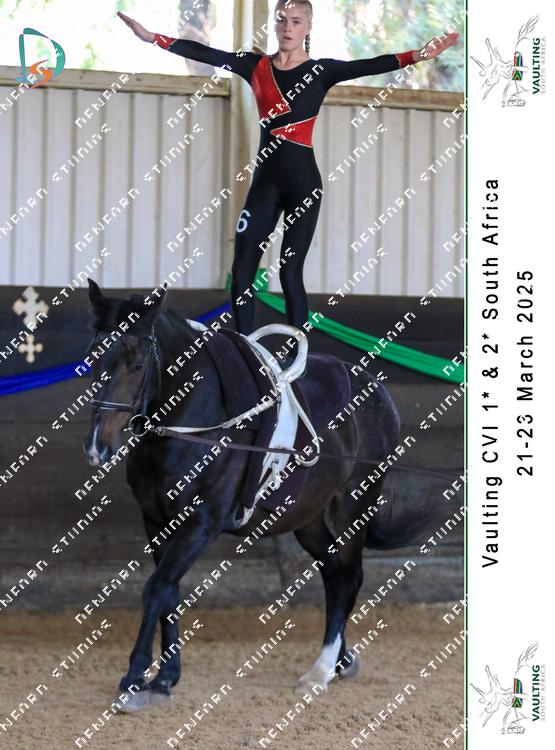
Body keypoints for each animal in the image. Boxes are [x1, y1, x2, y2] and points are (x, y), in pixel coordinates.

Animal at [82, 278, 428, 712]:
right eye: (92, 357)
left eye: (137, 364)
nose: (98, 446)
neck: (193, 421)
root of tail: (381, 395)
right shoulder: (157, 520)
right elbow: (169, 593)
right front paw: (165, 678)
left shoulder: (202, 521)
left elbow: (156, 589)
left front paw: (134, 681)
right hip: (307, 518)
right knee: (334, 574)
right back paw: (340, 660)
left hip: (354, 505)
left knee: (349, 575)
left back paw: (319, 671)